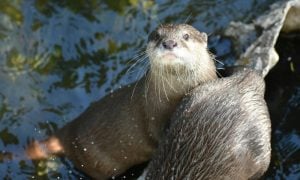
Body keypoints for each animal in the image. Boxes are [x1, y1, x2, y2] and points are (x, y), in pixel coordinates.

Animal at [27, 23, 217, 179]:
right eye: (157, 36)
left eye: (186, 36)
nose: (169, 43)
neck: (176, 95)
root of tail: (69, 131)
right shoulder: (153, 117)